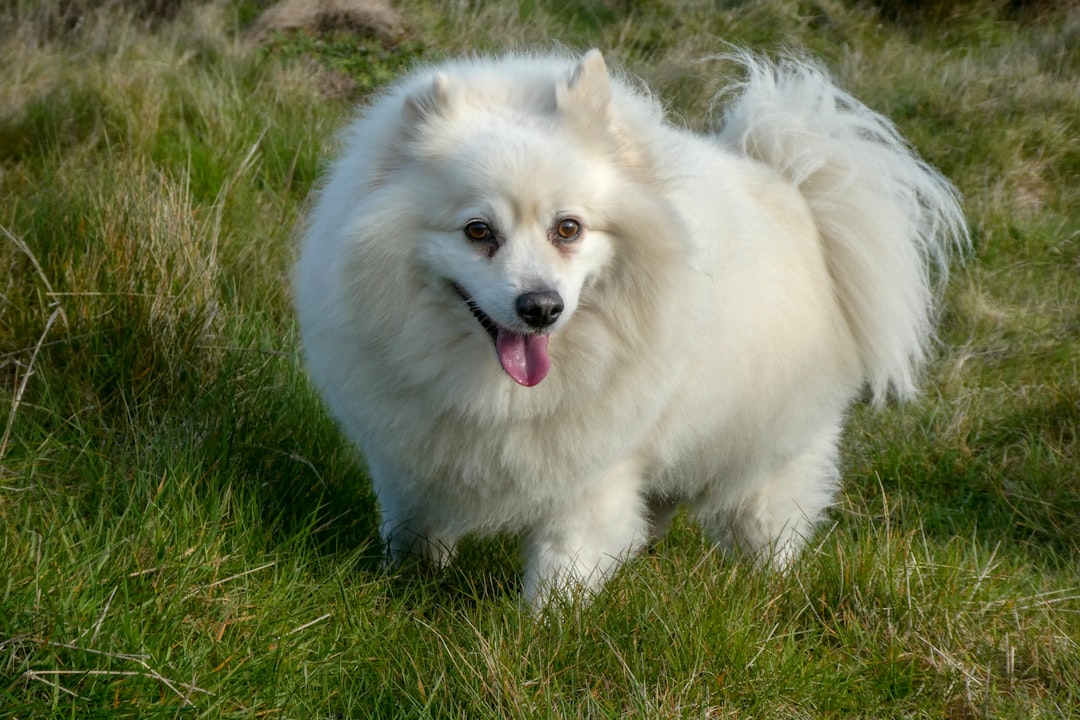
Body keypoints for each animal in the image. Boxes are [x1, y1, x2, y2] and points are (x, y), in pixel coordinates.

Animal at [291, 47, 967, 608]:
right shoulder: (409, 457)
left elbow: (561, 569)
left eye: (568, 228)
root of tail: (793, 190)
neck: (496, 391)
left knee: (768, 527)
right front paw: (401, 588)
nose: (541, 306)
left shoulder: (592, 474)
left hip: (767, 458)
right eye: (478, 231)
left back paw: (764, 592)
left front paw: (536, 638)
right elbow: (414, 531)